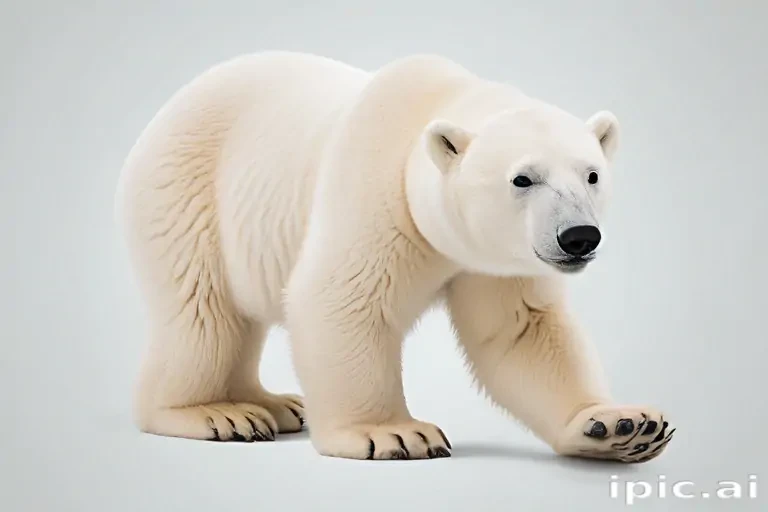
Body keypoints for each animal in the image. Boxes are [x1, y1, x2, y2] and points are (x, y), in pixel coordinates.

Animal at [115, 51, 674, 462]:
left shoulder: (498, 258)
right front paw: (395, 434)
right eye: (522, 178)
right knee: (202, 315)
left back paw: (274, 403)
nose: (579, 237)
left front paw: (621, 425)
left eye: (592, 174)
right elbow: (341, 298)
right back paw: (217, 412)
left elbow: (522, 330)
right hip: (187, 195)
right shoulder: (375, 192)